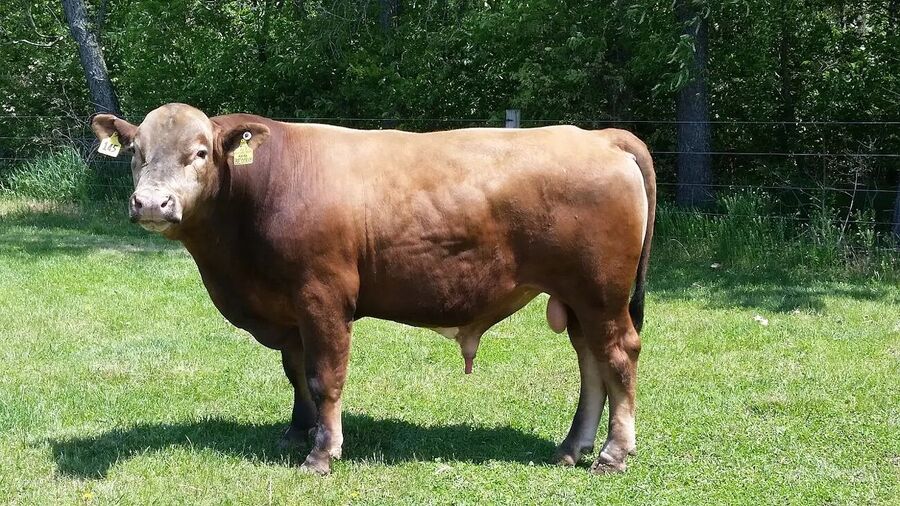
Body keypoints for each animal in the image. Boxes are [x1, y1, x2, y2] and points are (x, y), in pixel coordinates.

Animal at [90, 103, 656, 475]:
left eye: (201, 152)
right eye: (135, 152)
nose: (151, 203)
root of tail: (600, 136)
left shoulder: (322, 296)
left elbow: (325, 377)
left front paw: (322, 454)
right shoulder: (289, 310)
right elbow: (296, 374)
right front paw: (296, 432)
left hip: (601, 293)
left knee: (619, 356)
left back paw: (614, 454)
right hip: (578, 300)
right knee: (591, 363)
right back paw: (572, 447)